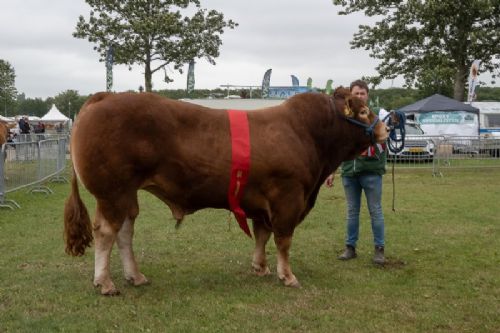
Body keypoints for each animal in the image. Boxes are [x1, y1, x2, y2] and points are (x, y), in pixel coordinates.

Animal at [64, 87, 388, 294]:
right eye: (362, 110)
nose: (385, 128)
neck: (307, 133)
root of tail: (106, 96)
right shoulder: (288, 197)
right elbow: (283, 239)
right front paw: (287, 276)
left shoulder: (262, 201)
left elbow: (262, 234)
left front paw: (261, 267)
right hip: (113, 192)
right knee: (106, 232)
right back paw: (105, 283)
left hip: (126, 194)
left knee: (125, 232)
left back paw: (136, 276)